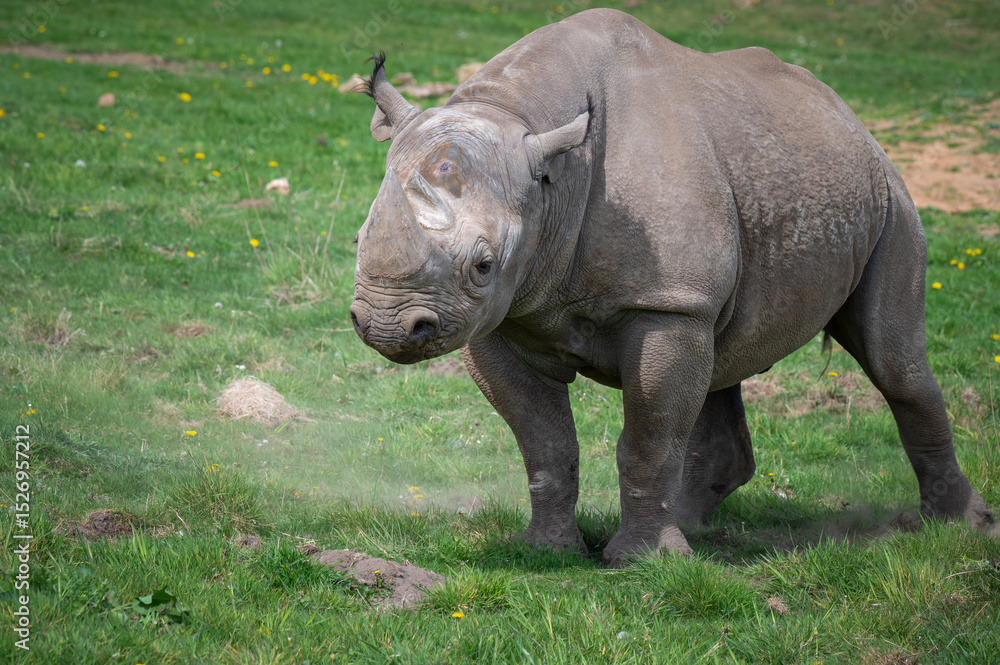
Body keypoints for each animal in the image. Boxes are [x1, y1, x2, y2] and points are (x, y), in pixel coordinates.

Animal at [349, 8, 994, 566]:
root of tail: (850, 117)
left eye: (483, 264)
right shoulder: (501, 316)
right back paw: (687, 527)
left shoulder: (664, 302)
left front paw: (640, 562)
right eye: (358, 237)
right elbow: (545, 442)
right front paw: (547, 551)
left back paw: (958, 526)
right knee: (719, 358)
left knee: (895, 362)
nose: (387, 326)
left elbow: (649, 434)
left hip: (888, 194)